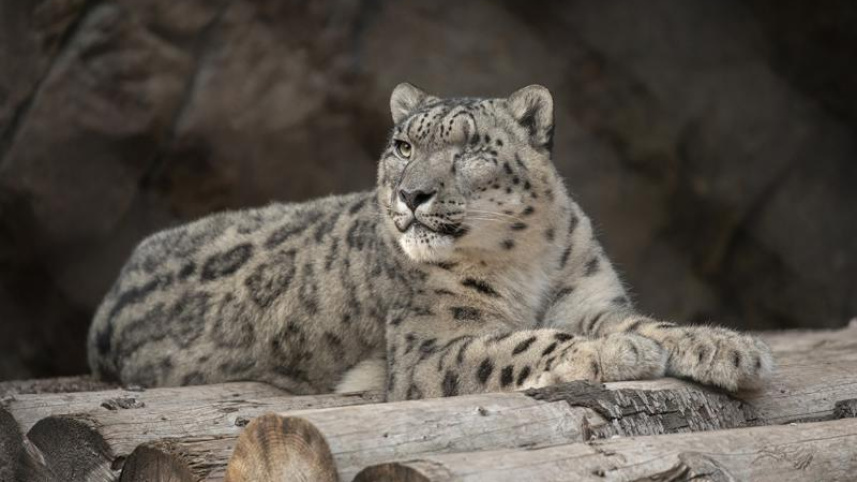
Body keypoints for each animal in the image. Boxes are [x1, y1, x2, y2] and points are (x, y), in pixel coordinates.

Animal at [87, 83, 774, 400]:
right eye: (403, 146)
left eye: (470, 148)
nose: (411, 194)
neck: (526, 263)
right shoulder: (431, 346)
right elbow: (519, 342)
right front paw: (615, 354)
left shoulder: (590, 300)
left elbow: (647, 323)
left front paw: (728, 347)